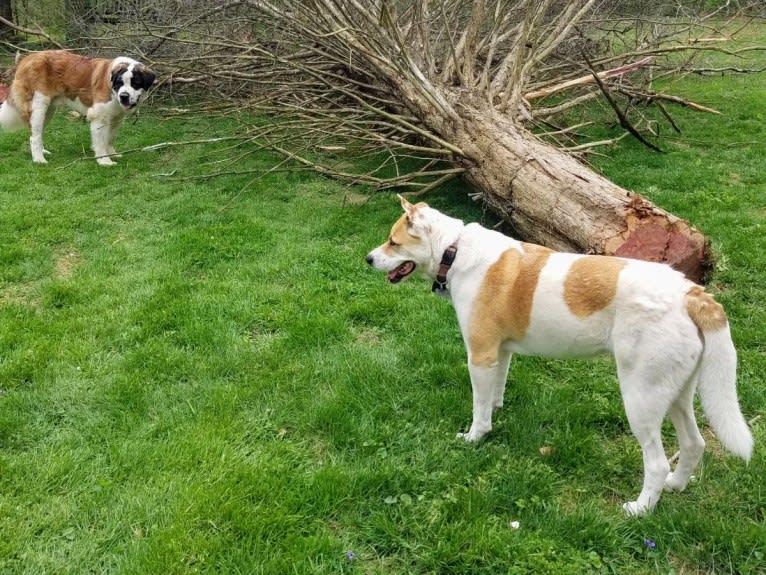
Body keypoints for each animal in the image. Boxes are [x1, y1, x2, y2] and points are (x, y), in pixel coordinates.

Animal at [0, 49, 156, 166]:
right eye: (119, 83)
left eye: (135, 83)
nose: (124, 96)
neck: (112, 87)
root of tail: (26, 59)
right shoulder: (99, 117)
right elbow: (101, 140)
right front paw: (104, 161)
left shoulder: (116, 118)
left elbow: (109, 138)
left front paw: (112, 154)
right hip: (38, 106)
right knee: (35, 136)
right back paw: (39, 160)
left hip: (48, 110)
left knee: (36, 132)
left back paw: (43, 152)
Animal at [368, 196, 756, 516]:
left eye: (393, 241)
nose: (368, 258)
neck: (455, 250)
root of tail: (691, 293)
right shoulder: (500, 353)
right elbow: (496, 391)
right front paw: (496, 410)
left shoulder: (479, 355)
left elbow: (478, 407)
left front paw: (476, 436)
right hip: (675, 394)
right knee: (694, 444)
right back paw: (676, 485)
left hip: (640, 398)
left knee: (657, 463)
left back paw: (641, 508)